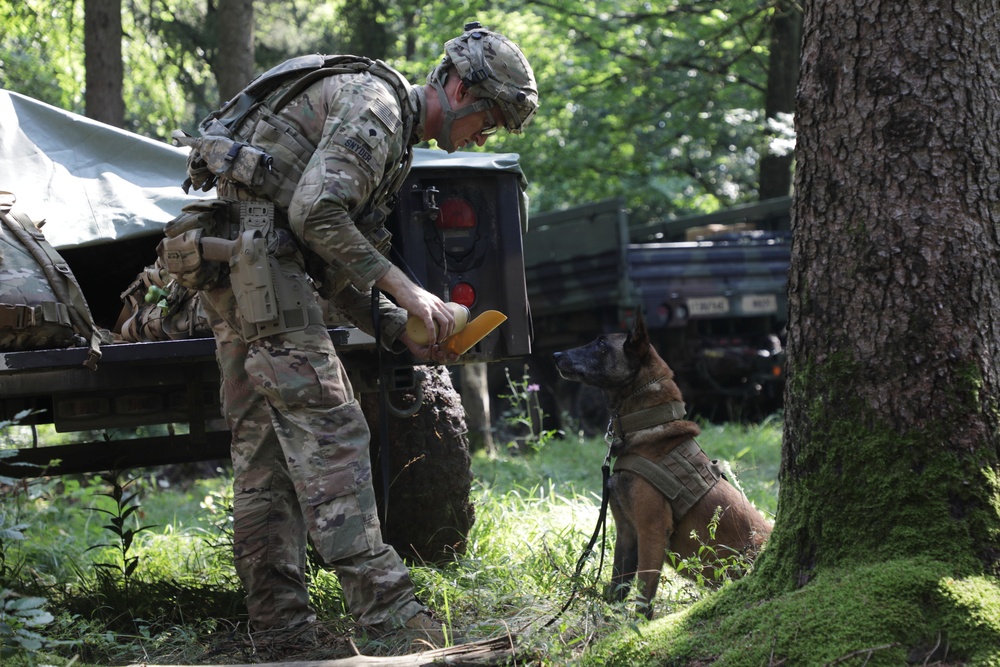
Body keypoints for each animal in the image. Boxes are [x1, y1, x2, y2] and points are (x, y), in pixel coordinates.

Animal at [556, 314, 772, 620]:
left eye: (600, 343)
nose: (555, 355)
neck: (646, 429)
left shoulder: (652, 530)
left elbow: (644, 591)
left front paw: (637, 627)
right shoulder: (626, 531)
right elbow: (616, 587)